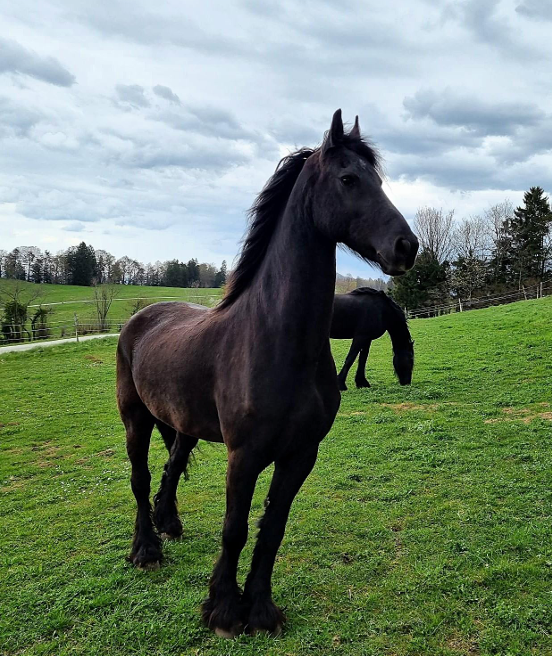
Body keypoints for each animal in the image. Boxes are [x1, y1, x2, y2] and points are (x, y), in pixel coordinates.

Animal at [116, 110, 418, 638]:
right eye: (349, 179)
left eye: (379, 180)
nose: (407, 246)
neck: (279, 342)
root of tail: (140, 317)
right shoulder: (245, 455)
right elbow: (235, 529)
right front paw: (222, 610)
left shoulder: (300, 454)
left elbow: (272, 527)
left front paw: (259, 609)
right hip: (135, 419)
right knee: (140, 477)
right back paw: (146, 549)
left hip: (183, 427)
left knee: (170, 470)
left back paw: (169, 524)